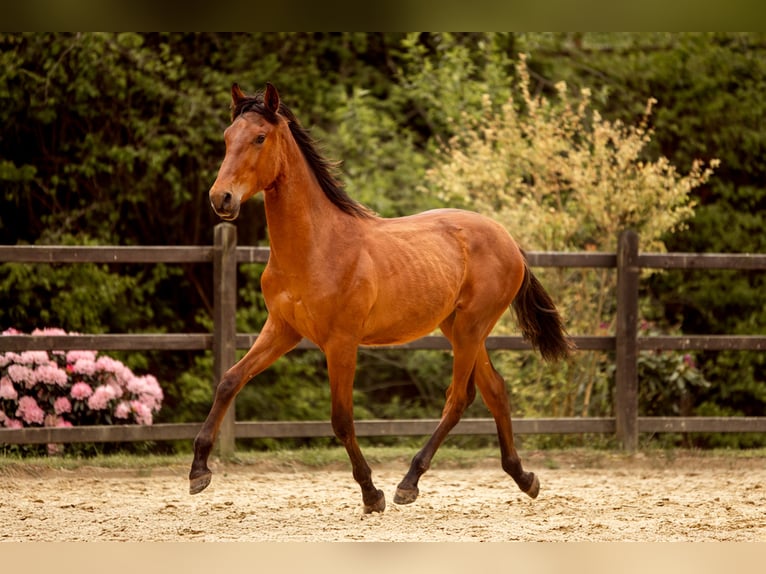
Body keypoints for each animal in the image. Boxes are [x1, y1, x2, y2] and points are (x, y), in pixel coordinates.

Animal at [189, 82, 573, 513]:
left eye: (259, 137)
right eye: (227, 137)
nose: (221, 198)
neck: (317, 247)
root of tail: (507, 239)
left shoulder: (341, 343)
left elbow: (341, 419)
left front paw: (371, 493)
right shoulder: (283, 329)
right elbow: (229, 380)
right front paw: (198, 471)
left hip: (471, 328)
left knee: (459, 397)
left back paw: (409, 483)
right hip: (459, 328)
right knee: (494, 391)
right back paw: (524, 478)